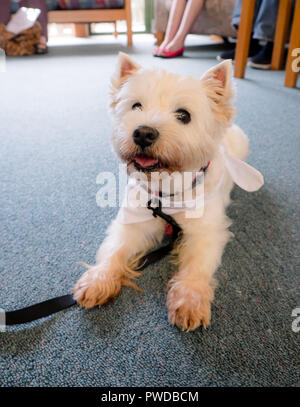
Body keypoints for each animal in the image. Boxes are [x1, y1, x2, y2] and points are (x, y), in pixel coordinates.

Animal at [73, 53, 262, 332]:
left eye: (184, 115)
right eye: (136, 106)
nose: (143, 133)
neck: (168, 191)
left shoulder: (205, 232)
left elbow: (196, 266)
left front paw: (190, 302)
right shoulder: (134, 221)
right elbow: (114, 249)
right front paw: (99, 280)